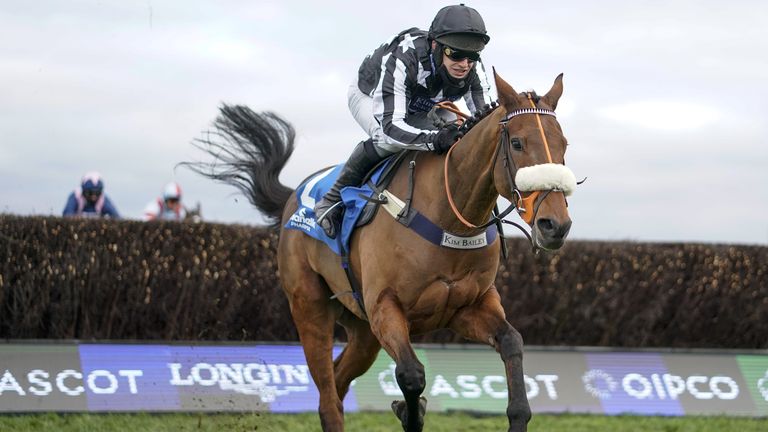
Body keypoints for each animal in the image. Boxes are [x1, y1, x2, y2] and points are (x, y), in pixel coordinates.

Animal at [186, 71, 576, 432]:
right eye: (518, 142)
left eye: (564, 144)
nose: (554, 225)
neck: (450, 218)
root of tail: (292, 198)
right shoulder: (384, 306)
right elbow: (412, 374)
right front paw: (409, 410)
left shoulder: (467, 307)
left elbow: (512, 342)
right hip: (310, 308)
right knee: (328, 397)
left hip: (361, 331)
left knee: (338, 381)